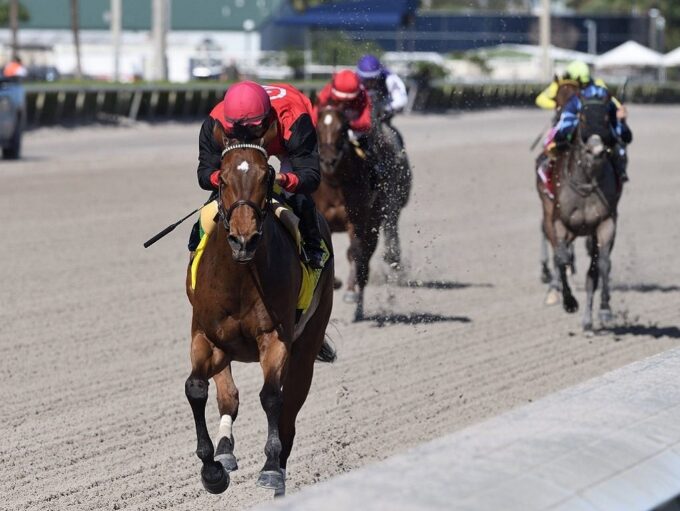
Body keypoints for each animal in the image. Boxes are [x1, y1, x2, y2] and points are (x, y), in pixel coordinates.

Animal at [185, 120, 336, 496]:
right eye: (222, 178)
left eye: (266, 176)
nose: (244, 239)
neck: (240, 275)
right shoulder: (207, 336)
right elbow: (197, 389)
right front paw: (212, 469)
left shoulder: (275, 336)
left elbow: (271, 397)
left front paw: (270, 468)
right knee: (229, 396)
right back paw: (225, 451)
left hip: (307, 345)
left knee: (289, 409)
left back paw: (278, 468)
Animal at [314, 104, 382, 322]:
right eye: (318, 128)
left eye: (343, 129)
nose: (328, 160)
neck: (335, 185)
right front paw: (334, 280)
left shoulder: (357, 221)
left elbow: (354, 253)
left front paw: (350, 291)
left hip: (374, 223)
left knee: (363, 261)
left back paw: (358, 304)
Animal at [552, 78, 620, 330]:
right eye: (582, 117)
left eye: (607, 118)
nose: (597, 150)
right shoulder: (560, 223)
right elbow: (562, 258)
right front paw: (569, 302)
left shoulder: (605, 223)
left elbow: (603, 265)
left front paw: (605, 309)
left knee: (594, 271)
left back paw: (589, 319)